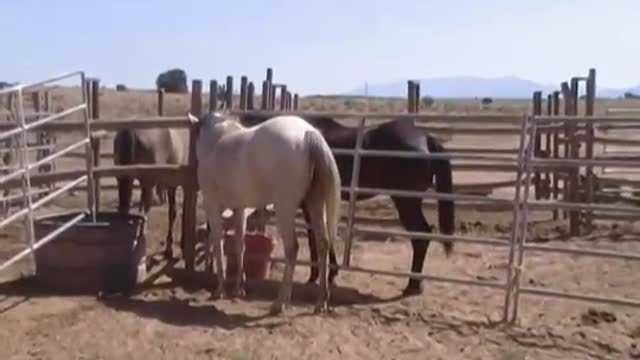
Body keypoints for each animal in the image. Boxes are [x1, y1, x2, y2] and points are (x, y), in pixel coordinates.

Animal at [188, 111, 342, 314]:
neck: (217, 142)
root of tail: (308, 133)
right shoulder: (239, 209)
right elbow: (239, 245)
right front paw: (238, 289)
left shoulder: (213, 206)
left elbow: (218, 245)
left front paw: (219, 290)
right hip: (314, 204)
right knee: (323, 243)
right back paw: (320, 302)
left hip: (285, 208)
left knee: (292, 249)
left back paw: (280, 303)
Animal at [240, 113, 456, 296]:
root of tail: (426, 139)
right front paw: (330, 273)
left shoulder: (307, 203)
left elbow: (314, 237)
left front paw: (316, 275)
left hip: (406, 202)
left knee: (421, 236)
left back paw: (412, 285)